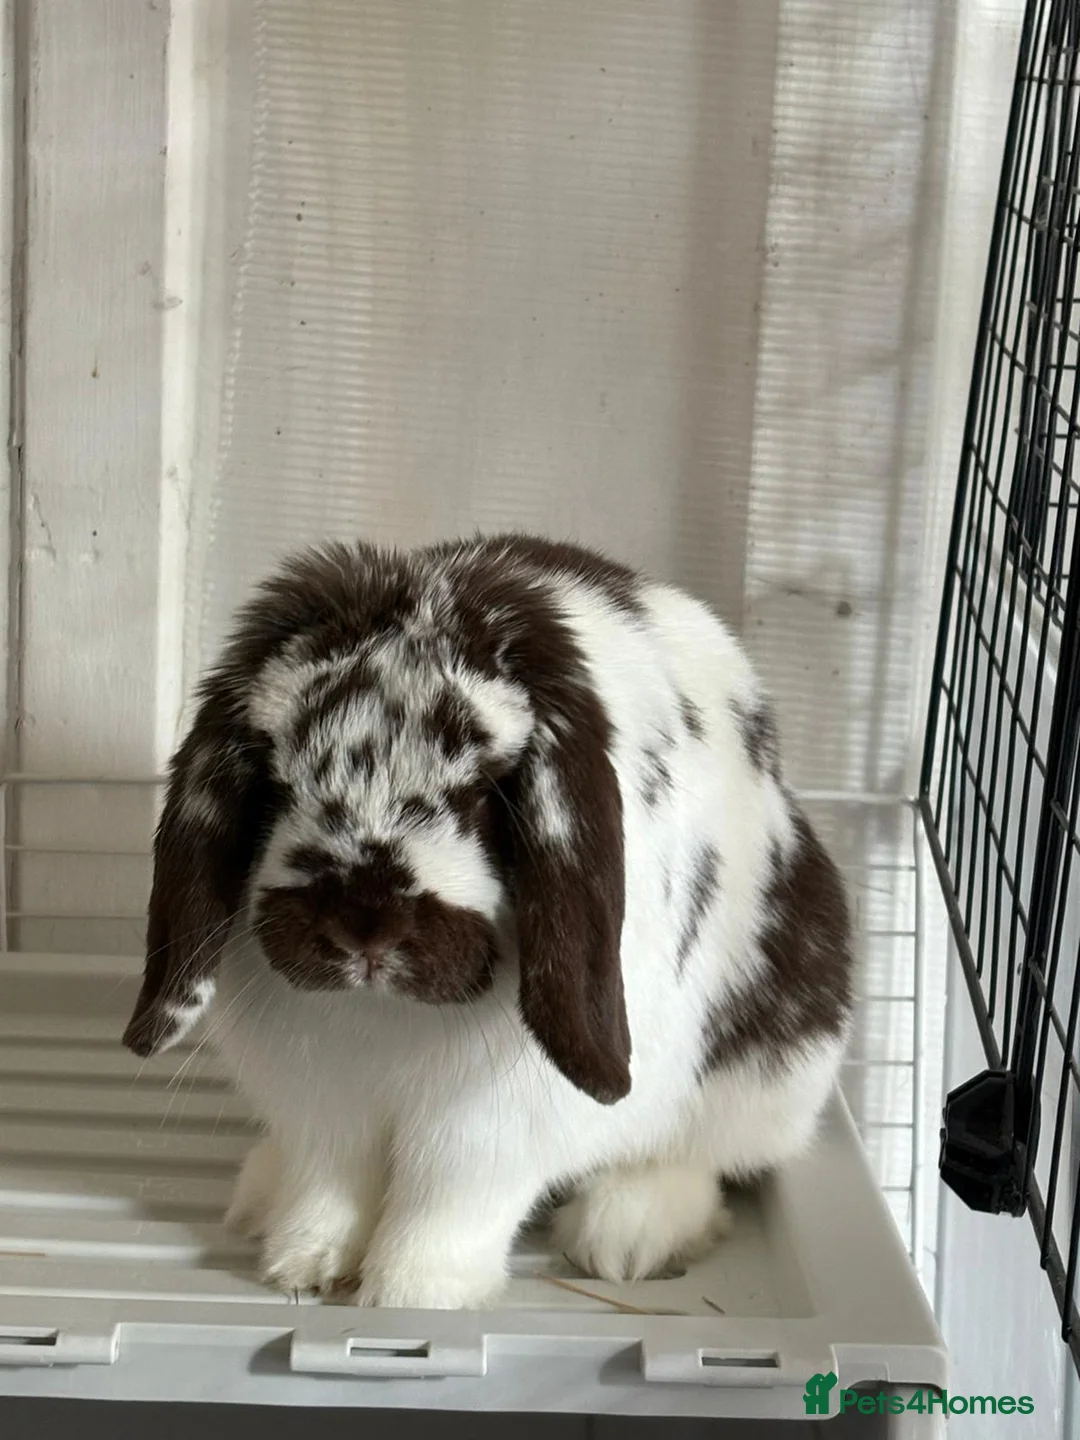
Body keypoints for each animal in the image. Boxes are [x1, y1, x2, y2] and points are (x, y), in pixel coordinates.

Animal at [123, 533, 853, 1310]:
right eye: (280, 783)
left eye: (481, 792)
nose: (364, 928)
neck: (384, 1018)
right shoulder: (323, 1110)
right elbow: (328, 1185)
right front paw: (304, 1263)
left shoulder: (485, 1135)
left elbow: (448, 1203)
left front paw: (412, 1292)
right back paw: (259, 1196)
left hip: (768, 1077)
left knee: (703, 1157)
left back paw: (625, 1236)